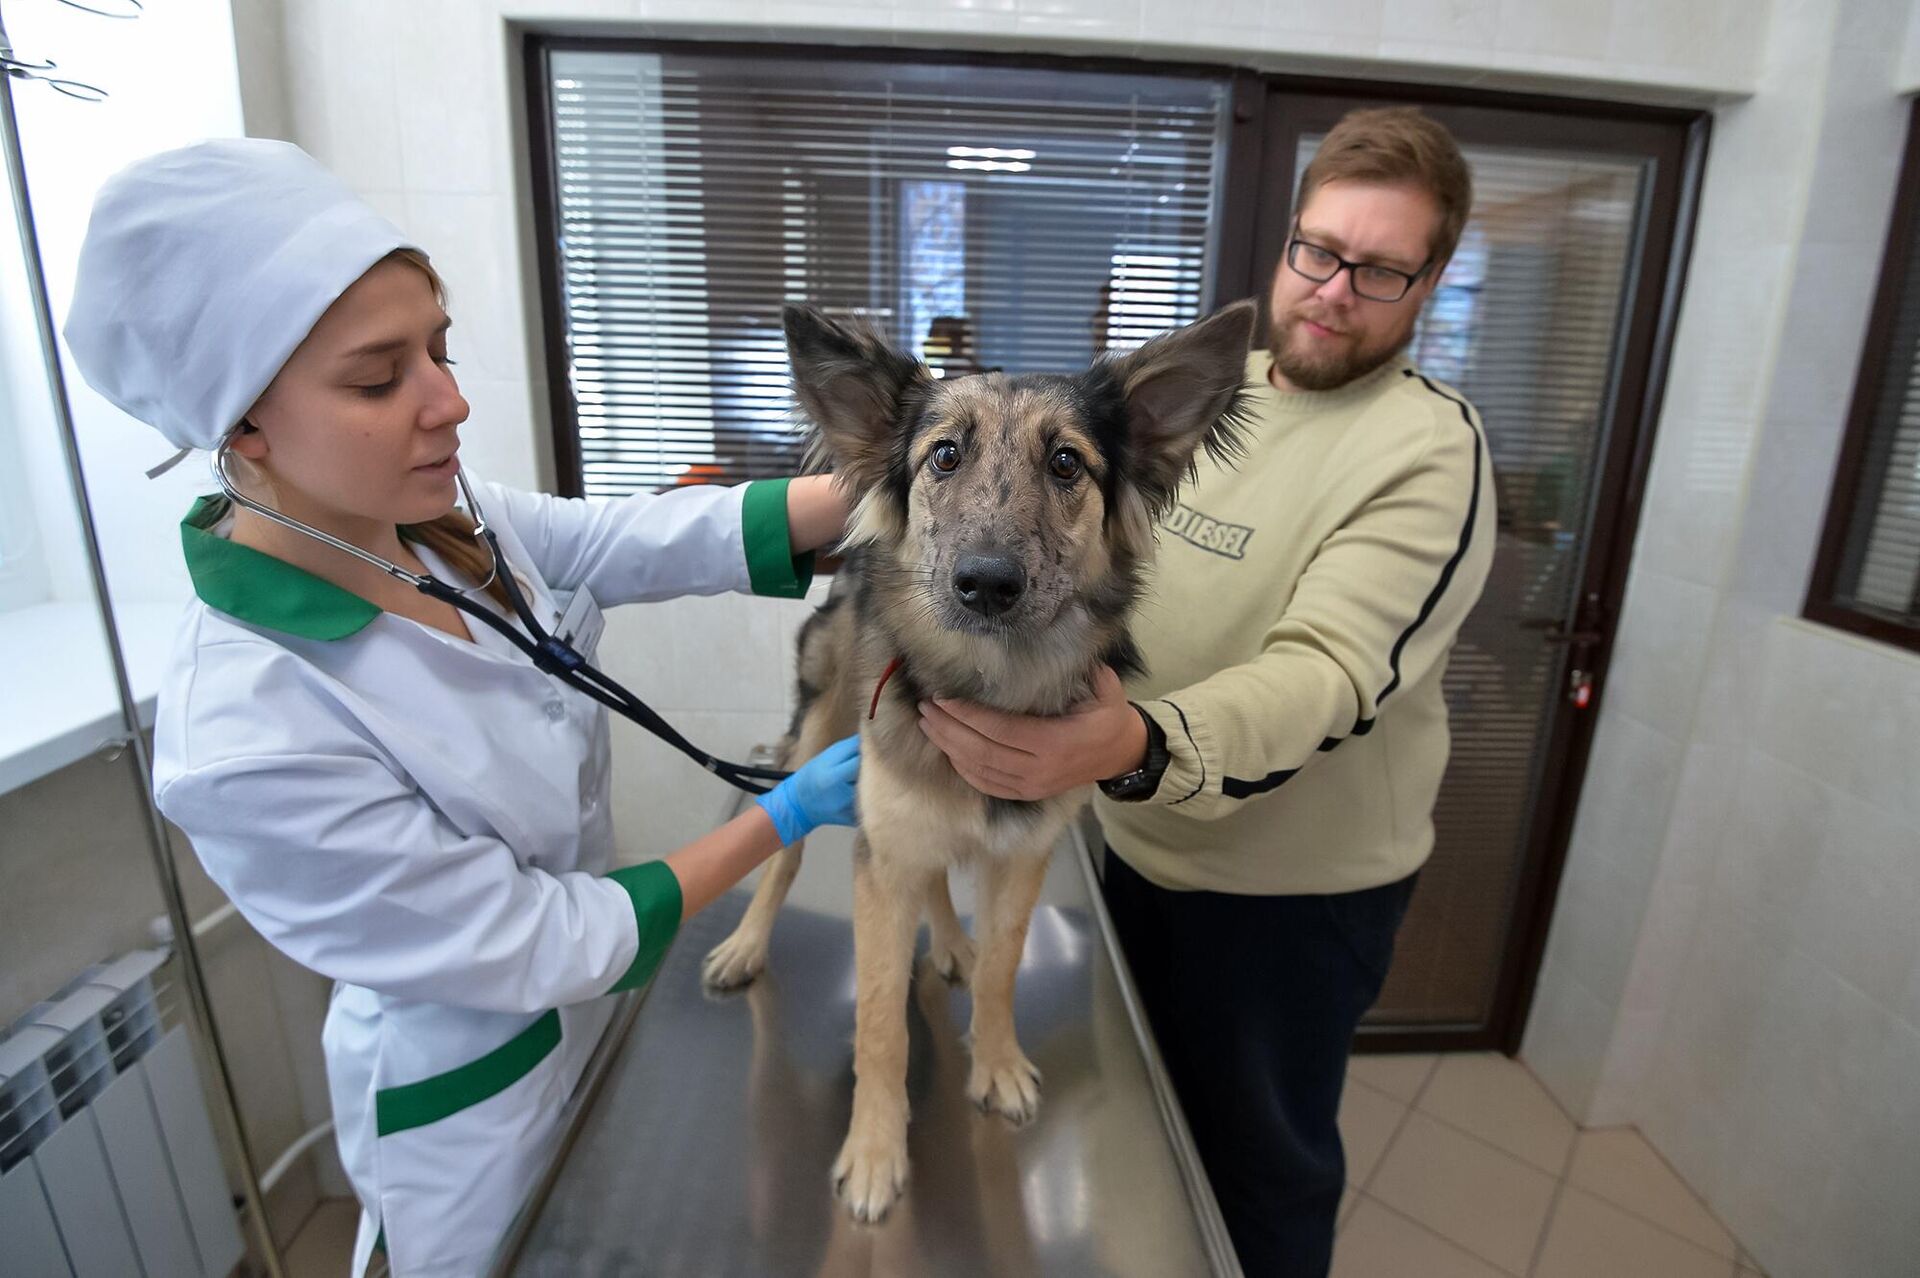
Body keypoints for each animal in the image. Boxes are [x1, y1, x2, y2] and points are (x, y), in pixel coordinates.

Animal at [706, 293, 1259, 1220]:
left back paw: (950, 941)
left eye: (1067, 462)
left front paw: (995, 1062)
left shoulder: (1026, 850)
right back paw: (747, 945)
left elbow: (1003, 967)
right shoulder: (880, 856)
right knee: (784, 845)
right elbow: (880, 1021)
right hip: (818, 727)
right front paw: (874, 1150)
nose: (988, 583)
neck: (993, 684)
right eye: (945, 455)